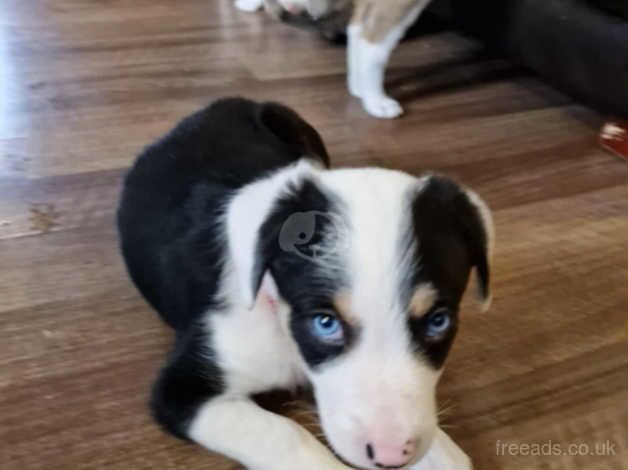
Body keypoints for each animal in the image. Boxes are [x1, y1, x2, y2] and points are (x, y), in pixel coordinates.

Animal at [116, 97, 490, 468]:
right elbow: (284, 434)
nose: (391, 453)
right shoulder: (181, 389)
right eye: (325, 322)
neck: (281, 324)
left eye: (438, 321)